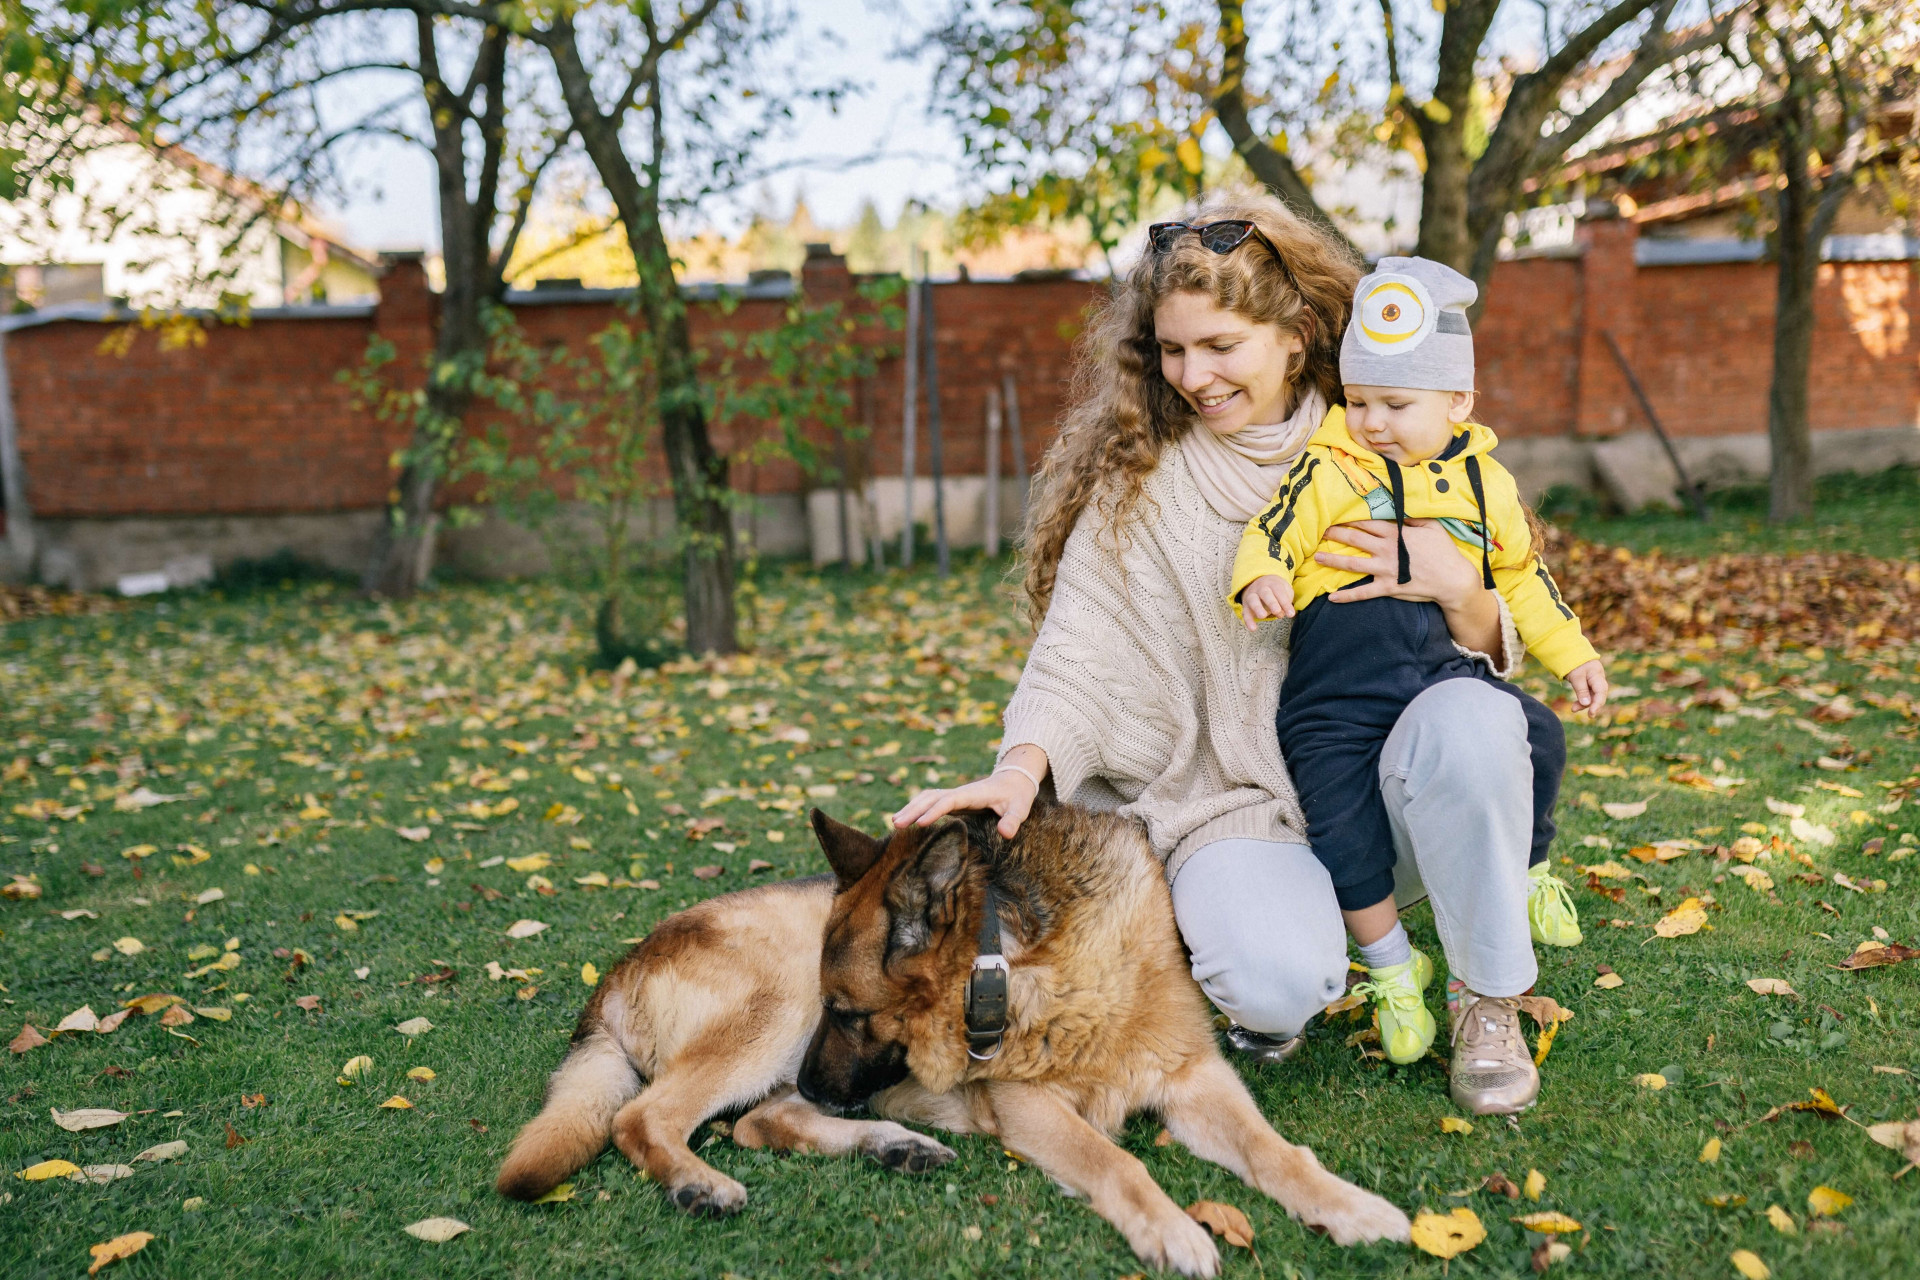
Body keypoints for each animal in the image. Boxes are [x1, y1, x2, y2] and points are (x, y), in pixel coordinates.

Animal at [499, 802, 1413, 1274]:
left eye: (850, 1013)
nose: (825, 1082)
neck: (1035, 965)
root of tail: (618, 971)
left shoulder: (1196, 1079)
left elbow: (1276, 1152)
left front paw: (1349, 1207)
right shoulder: (1029, 1107)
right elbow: (1117, 1163)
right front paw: (1174, 1228)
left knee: (763, 1121)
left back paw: (890, 1144)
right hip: (775, 1003)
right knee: (646, 1118)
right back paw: (700, 1182)